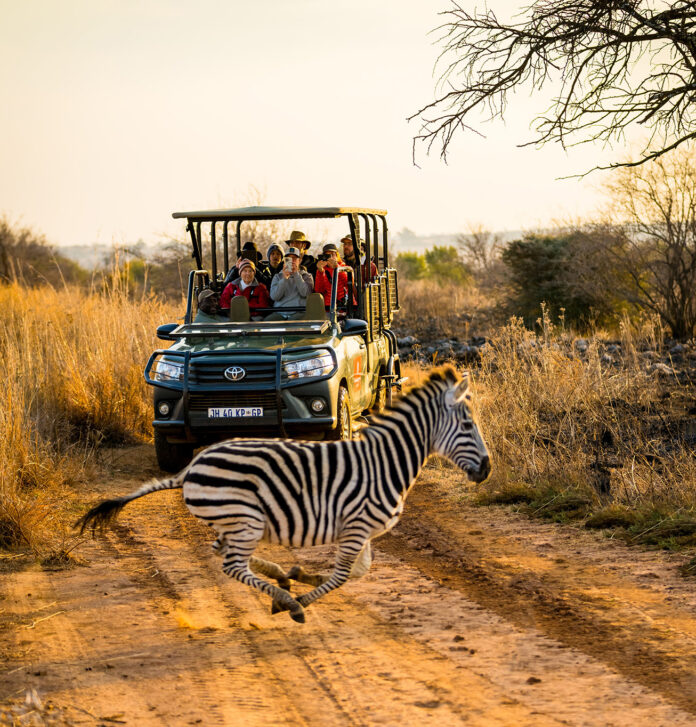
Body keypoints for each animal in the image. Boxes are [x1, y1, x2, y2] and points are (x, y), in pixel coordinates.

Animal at [76, 366, 490, 624]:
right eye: (468, 425)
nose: (486, 470)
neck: (385, 462)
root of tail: (190, 468)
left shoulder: (363, 530)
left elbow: (358, 571)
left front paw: (300, 575)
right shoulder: (356, 525)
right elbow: (343, 575)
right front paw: (299, 602)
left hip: (232, 522)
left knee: (224, 554)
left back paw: (282, 580)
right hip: (245, 520)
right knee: (232, 565)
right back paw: (286, 599)